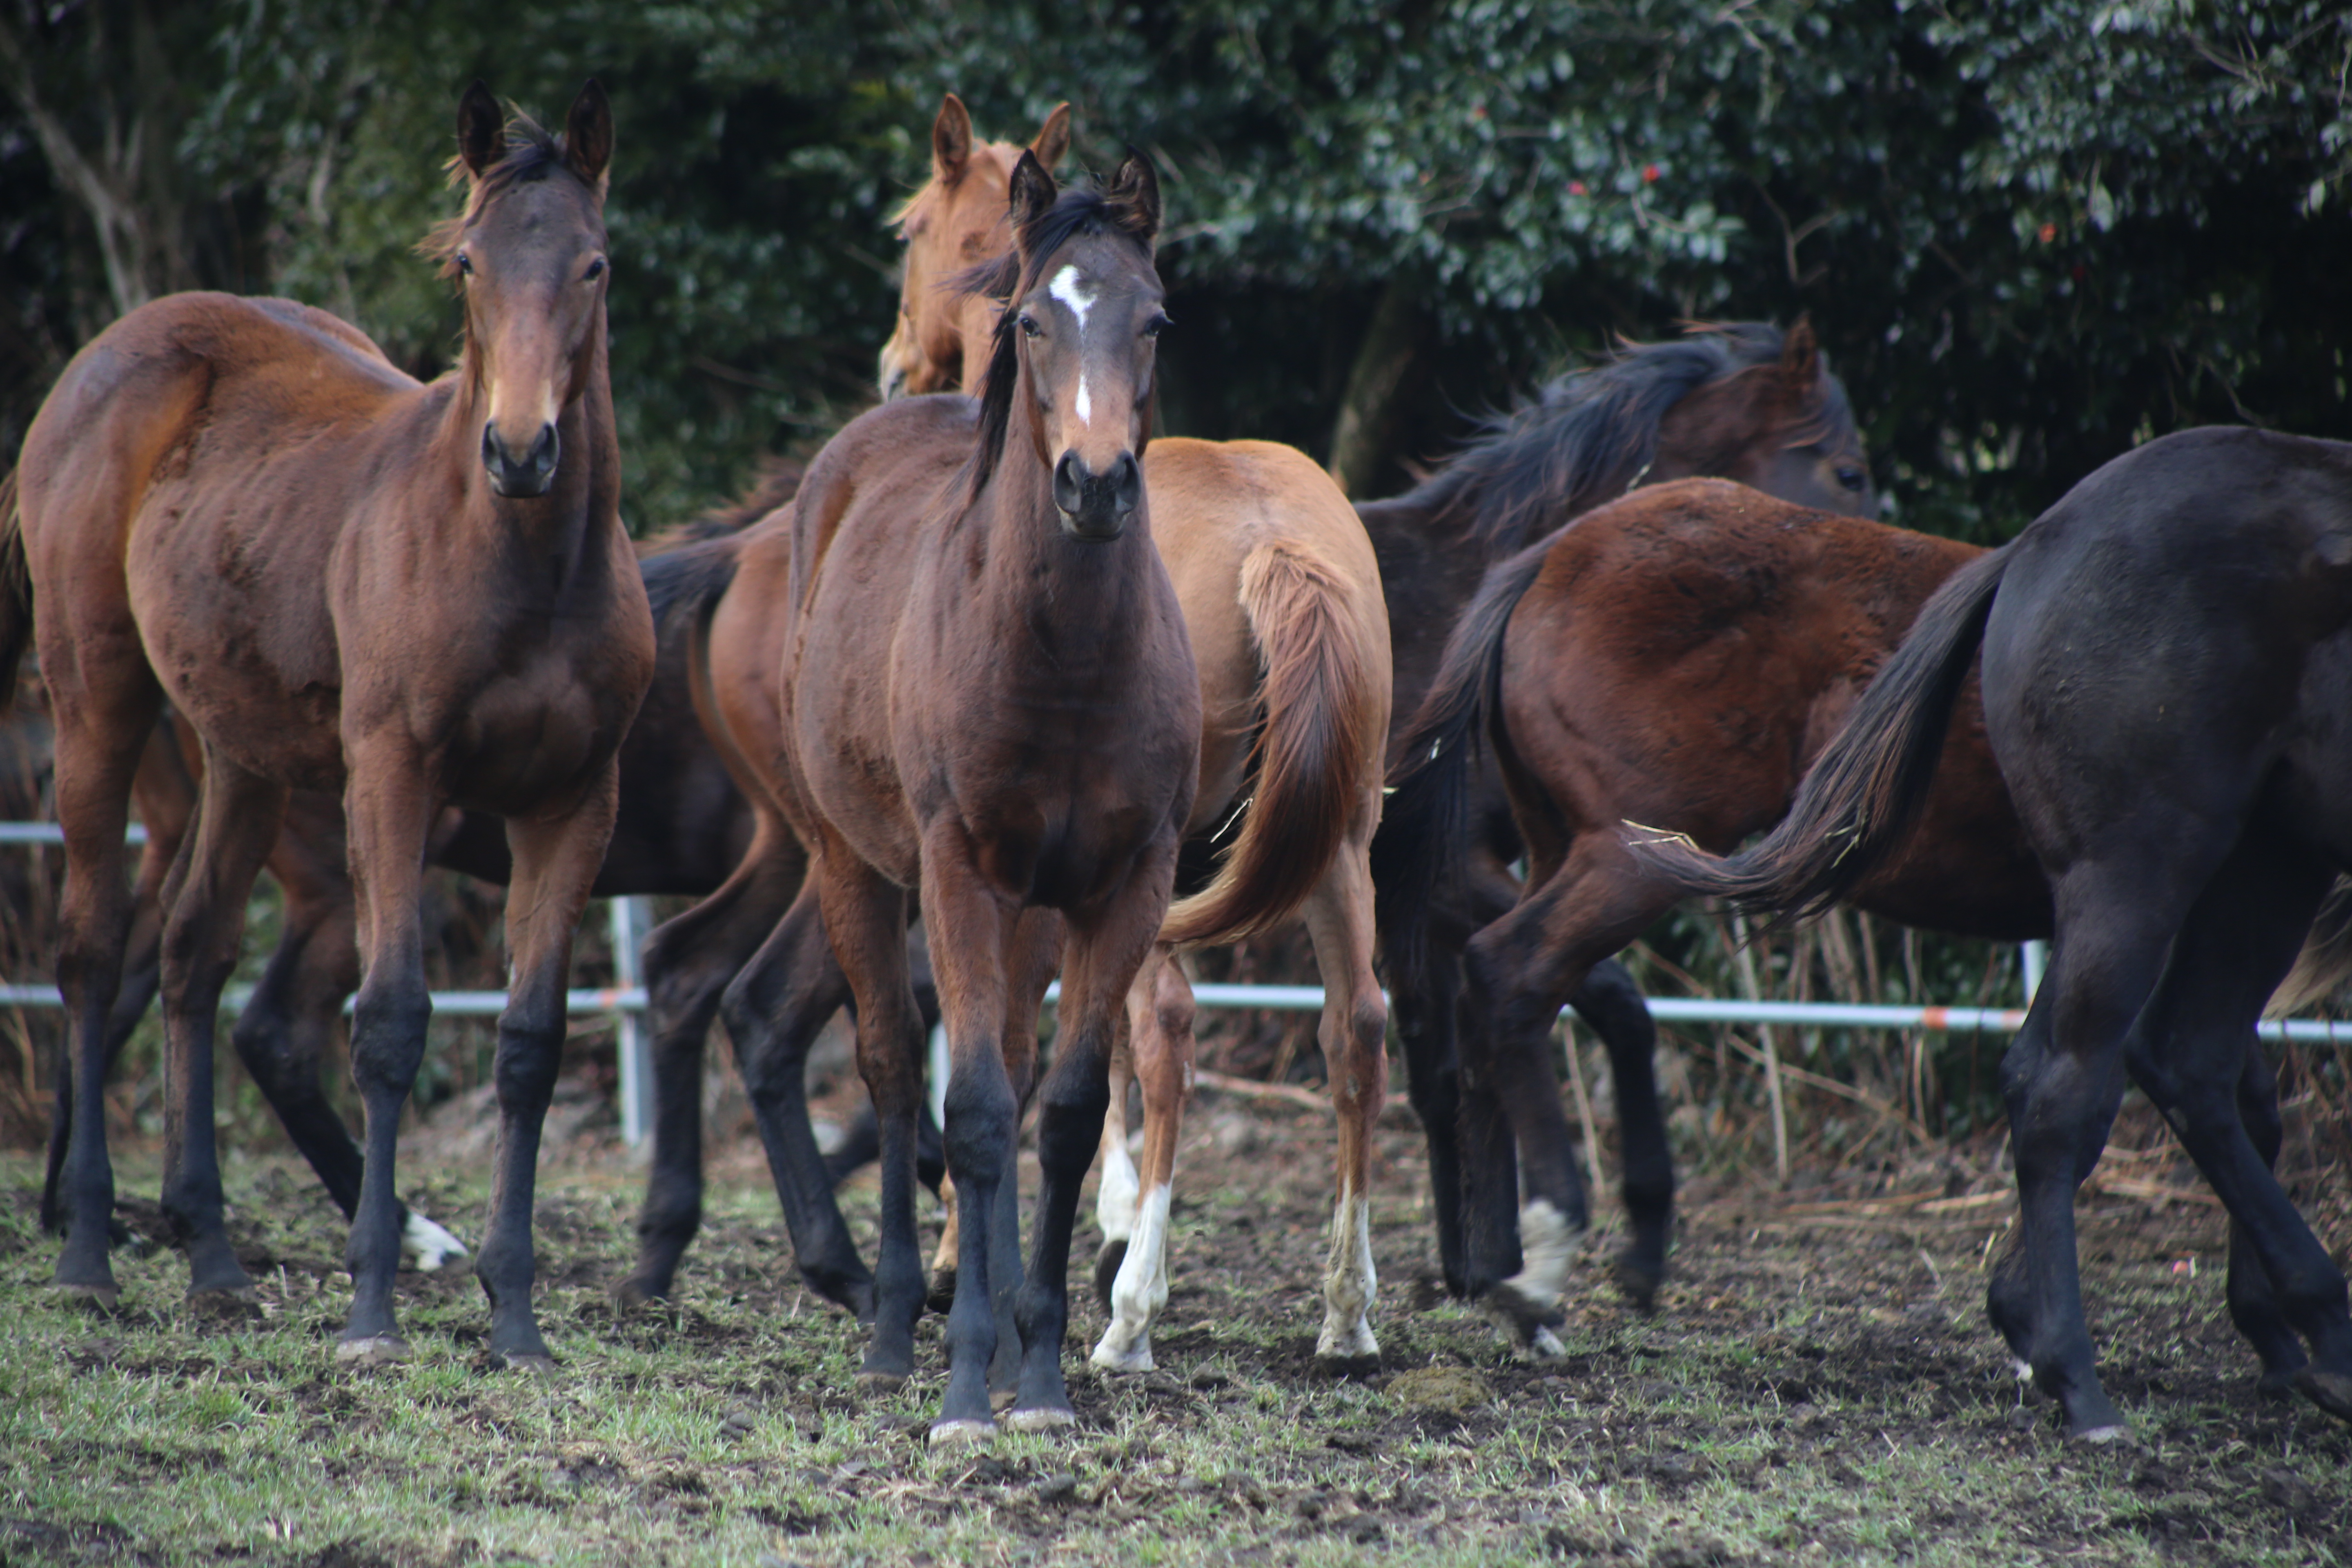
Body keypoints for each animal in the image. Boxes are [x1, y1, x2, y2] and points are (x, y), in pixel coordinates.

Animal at [2, 82, 654, 1373]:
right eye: (468, 263)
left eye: (595, 264)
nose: (520, 450)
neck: (524, 568)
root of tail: (103, 359)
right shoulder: (393, 777)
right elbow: (391, 1023)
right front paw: (371, 1311)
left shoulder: (575, 801)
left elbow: (530, 1041)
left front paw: (516, 1316)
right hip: (99, 701)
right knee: (95, 953)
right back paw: (91, 1249)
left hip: (241, 752)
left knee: (193, 952)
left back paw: (210, 1255)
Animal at [673, 153, 1204, 1439]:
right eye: (1031, 320)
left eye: (1154, 319)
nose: (1095, 484)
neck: (1065, 660)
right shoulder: (959, 871)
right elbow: (967, 1110)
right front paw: (968, 1382)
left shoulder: (1118, 886)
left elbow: (1060, 1111)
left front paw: (1040, 1371)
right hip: (849, 864)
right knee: (887, 1062)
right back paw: (888, 1319)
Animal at [884, 98, 1392, 1373]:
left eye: (910, 229)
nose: (898, 360)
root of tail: (1276, 541)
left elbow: (1021, 1050)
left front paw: (1007, 1252)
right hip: (1337, 839)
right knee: (1356, 1026)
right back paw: (1345, 1309)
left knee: (1166, 1031)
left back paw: (1131, 1317)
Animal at [1637, 425, 2352, 1439]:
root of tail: (2038, 540)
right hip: (2152, 870)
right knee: (2091, 1079)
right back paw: (2095, 1377)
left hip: (2247, 865)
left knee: (2163, 1068)